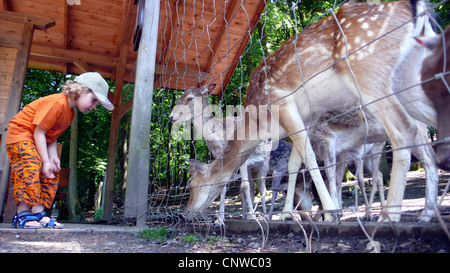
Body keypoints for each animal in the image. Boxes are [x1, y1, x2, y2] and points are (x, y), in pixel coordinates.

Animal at [182, 0, 436, 221]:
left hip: (367, 72)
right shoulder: (309, 118)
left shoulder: (282, 103)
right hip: (408, 78)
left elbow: (310, 158)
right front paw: (287, 214)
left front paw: (331, 212)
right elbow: (295, 163)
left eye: (192, 185)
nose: (185, 212)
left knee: (404, 130)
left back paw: (389, 217)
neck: (261, 120)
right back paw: (426, 213)